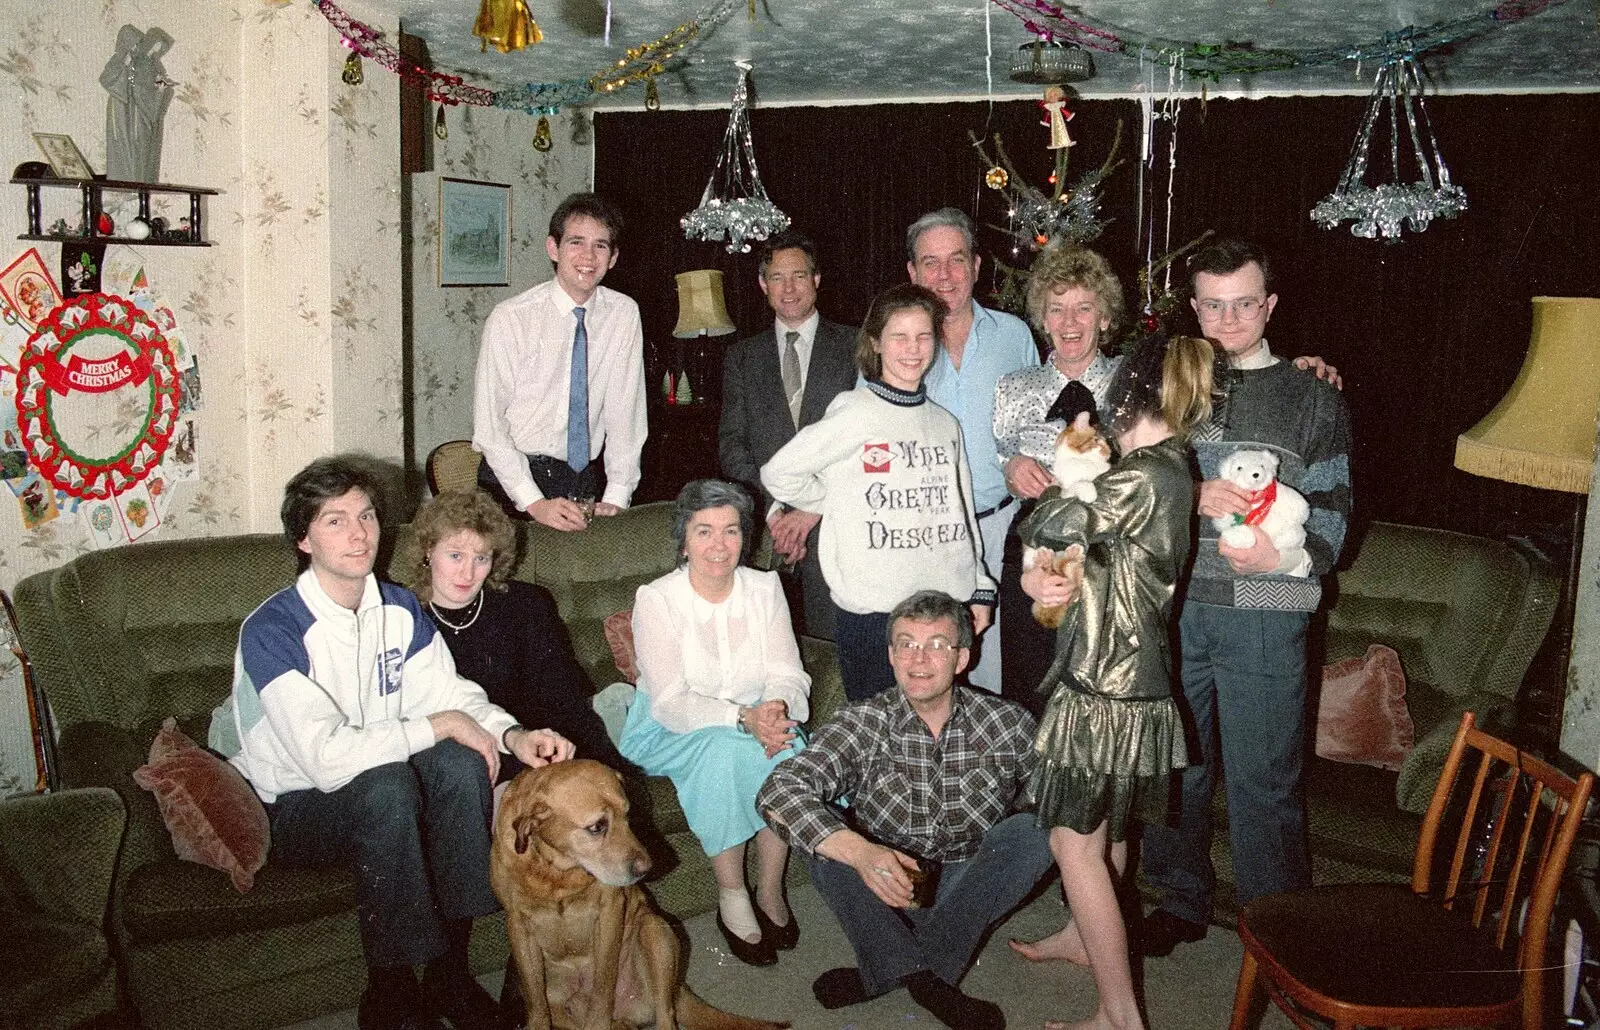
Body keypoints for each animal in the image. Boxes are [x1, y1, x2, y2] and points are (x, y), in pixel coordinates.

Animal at [486, 754, 787, 1030]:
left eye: (628, 816)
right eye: (597, 827)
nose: (648, 868)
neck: (557, 874)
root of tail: (681, 991)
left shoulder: (610, 911)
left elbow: (602, 986)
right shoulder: (518, 926)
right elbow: (535, 1000)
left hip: (654, 931)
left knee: (666, 1014)